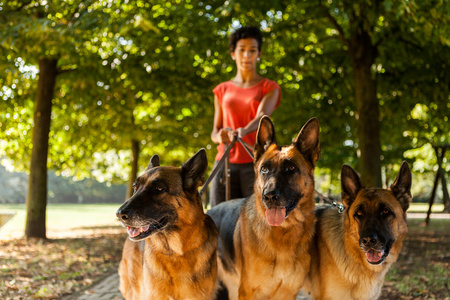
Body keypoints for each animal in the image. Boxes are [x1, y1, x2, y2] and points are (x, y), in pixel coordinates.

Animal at [207, 116, 320, 298]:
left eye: (291, 168)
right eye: (264, 169)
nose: (269, 197)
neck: (284, 232)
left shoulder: (288, 293)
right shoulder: (248, 292)